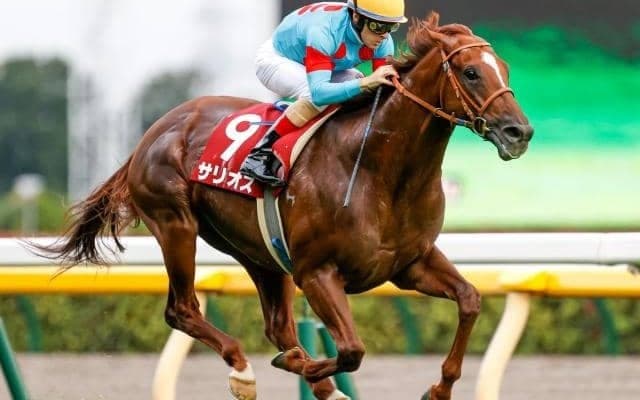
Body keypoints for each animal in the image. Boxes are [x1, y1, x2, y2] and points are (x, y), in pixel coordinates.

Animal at [34, 12, 532, 400]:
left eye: (506, 69)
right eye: (471, 72)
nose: (519, 132)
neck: (380, 171)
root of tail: (153, 132)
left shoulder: (411, 264)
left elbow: (469, 300)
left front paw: (439, 387)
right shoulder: (317, 272)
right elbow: (351, 350)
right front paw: (304, 368)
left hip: (258, 251)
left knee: (277, 326)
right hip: (175, 224)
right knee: (183, 309)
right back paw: (244, 371)